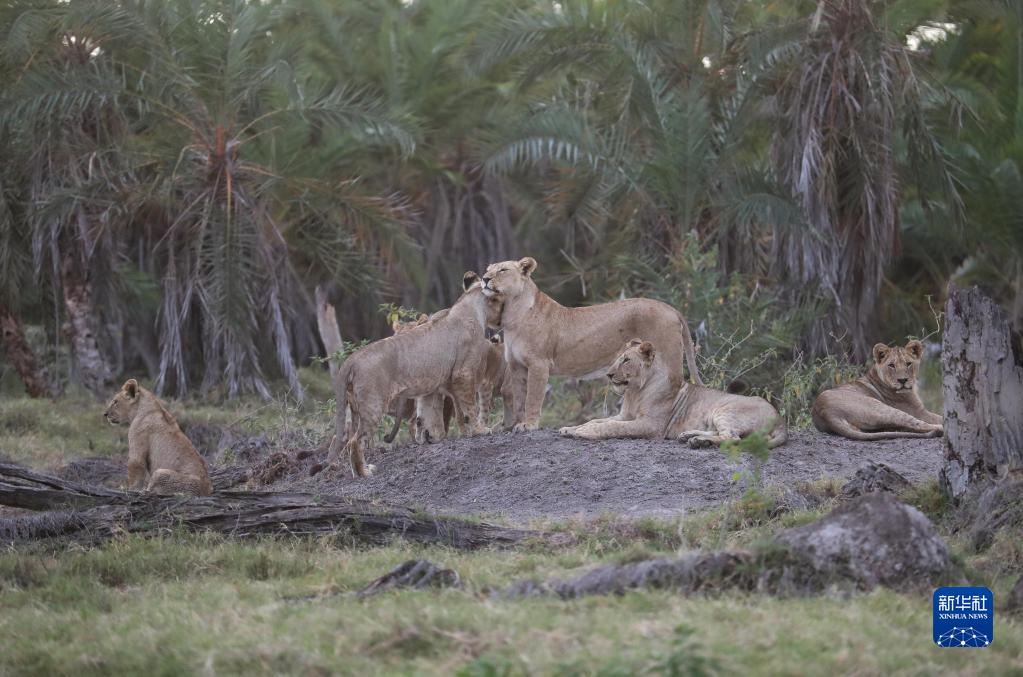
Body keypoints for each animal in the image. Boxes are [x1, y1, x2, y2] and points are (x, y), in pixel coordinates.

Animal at [480, 257, 703, 431]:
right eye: (488, 269)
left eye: (502, 270)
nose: (484, 279)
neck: (512, 313)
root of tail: (671, 309)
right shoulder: (516, 365)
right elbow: (518, 397)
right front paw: (514, 424)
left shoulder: (539, 364)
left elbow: (532, 397)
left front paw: (529, 424)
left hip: (669, 359)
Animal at [560, 339, 781, 449]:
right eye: (616, 359)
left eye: (626, 360)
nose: (609, 374)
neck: (634, 392)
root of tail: (780, 419)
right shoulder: (624, 415)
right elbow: (597, 420)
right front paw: (570, 428)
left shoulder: (651, 425)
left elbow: (612, 427)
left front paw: (584, 432)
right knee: (725, 434)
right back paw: (689, 436)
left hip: (724, 410)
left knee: (733, 438)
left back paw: (700, 442)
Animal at [806, 341, 941, 443]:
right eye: (891, 365)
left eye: (908, 363)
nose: (902, 380)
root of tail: (825, 412)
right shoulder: (919, 412)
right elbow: (938, 416)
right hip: (882, 408)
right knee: (917, 424)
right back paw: (941, 429)